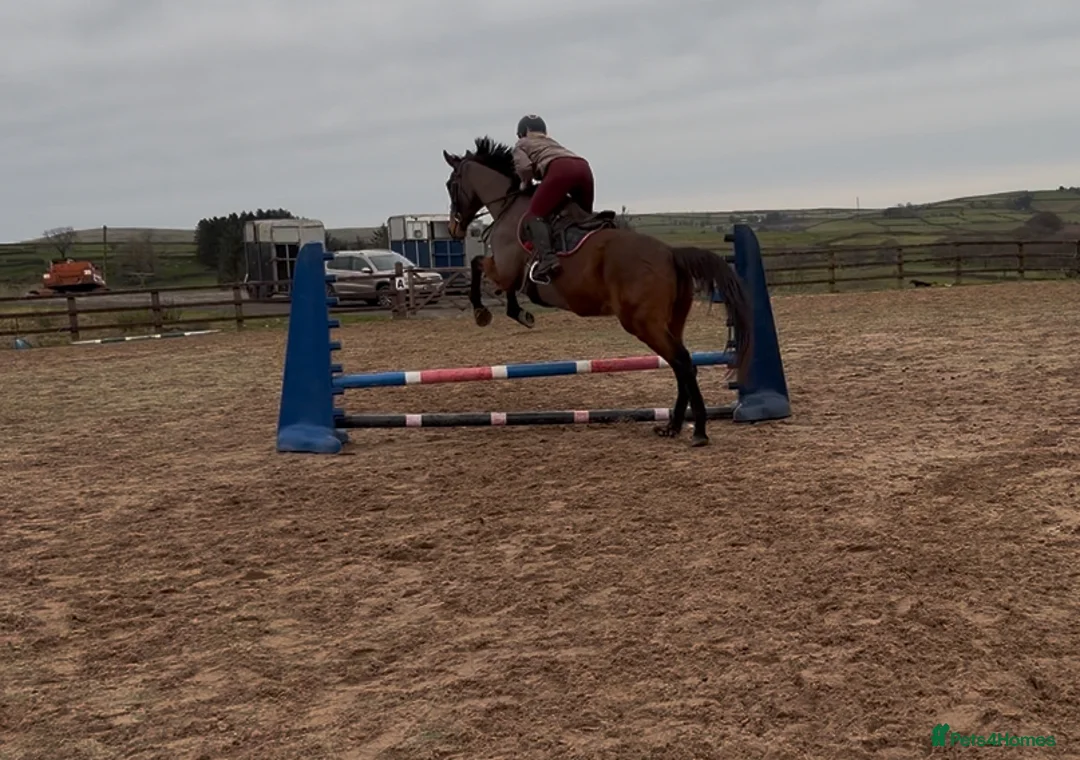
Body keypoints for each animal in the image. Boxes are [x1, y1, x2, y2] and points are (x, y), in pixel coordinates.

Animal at [441, 136, 753, 447]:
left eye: (450, 183)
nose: (454, 228)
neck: (509, 207)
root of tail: (671, 253)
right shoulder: (508, 273)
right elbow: (500, 284)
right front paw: (520, 313)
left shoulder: (504, 269)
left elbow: (477, 264)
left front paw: (484, 312)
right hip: (672, 321)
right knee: (681, 364)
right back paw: (672, 426)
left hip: (643, 323)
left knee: (683, 363)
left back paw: (698, 430)